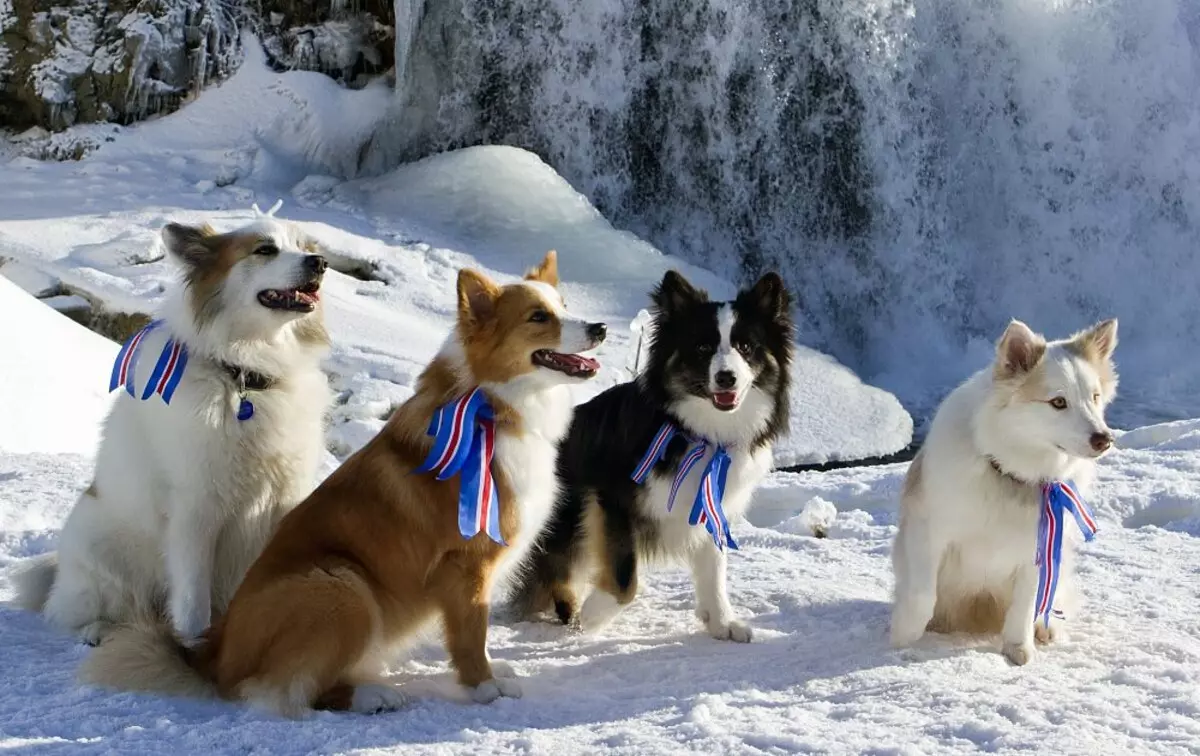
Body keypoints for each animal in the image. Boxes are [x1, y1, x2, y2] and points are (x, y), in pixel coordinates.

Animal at [14, 214, 333, 648]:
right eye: (265, 249)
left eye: (304, 247)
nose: (320, 263)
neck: (244, 379)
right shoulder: (196, 512)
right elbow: (194, 600)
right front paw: (195, 646)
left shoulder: (283, 500)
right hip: (106, 562)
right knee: (75, 613)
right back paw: (98, 631)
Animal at [83, 253, 604, 715]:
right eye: (539, 317)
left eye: (563, 304)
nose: (600, 328)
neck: (492, 404)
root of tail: (214, 652)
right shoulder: (466, 566)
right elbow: (471, 636)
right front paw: (485, 686)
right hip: (343, 586)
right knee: (279, 691)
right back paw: (374, 697)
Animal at [511, 270, 792, 643]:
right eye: (702, 347)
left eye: (746, 347)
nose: (726, 377)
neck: (699, 431)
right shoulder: (610, 499)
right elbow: (624, 575)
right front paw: (595, 615)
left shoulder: (709, 504)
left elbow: (714, 568)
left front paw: (721, 621)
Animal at [892, 316, 1113, 667]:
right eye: (1058, 402)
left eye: (1094, 397)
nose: (1104, 439)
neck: (1009, 473)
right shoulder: (928, 532)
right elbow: (923, 594)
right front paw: (903, 635)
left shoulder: (1037, 550)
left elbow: (1024, 606)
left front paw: (1018, 648)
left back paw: (1046, 629)